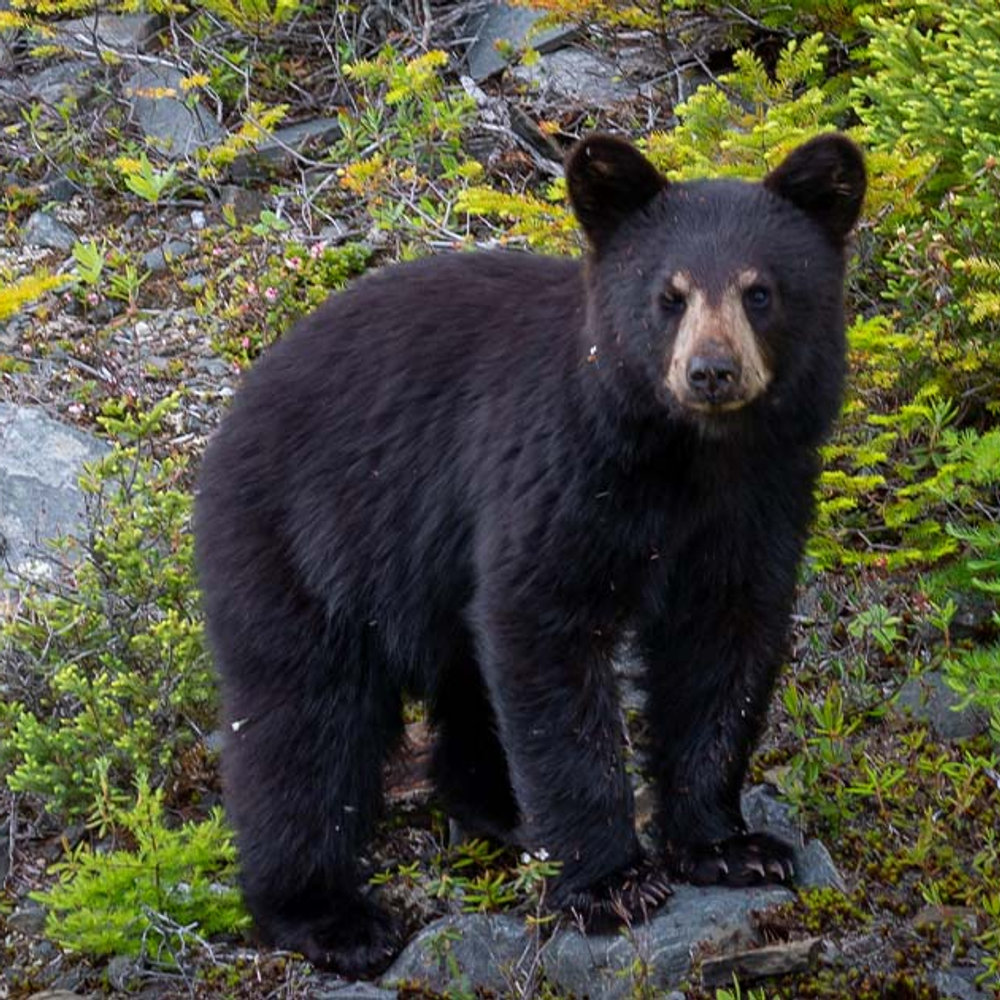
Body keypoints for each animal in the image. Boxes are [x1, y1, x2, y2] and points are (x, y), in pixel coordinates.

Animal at [194, 132, 866, 976]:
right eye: (669, 295)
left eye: (759, 292)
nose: (710, 371)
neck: (688, 457)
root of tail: (233, 413)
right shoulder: (560, 471)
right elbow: (544, 629)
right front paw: (610, 883)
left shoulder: (760, 499)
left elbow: (723, 646)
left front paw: (728, 845)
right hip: (301, 547)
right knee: (303, 725)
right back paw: (328, 915)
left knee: (462, 684)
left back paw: (500, 811)